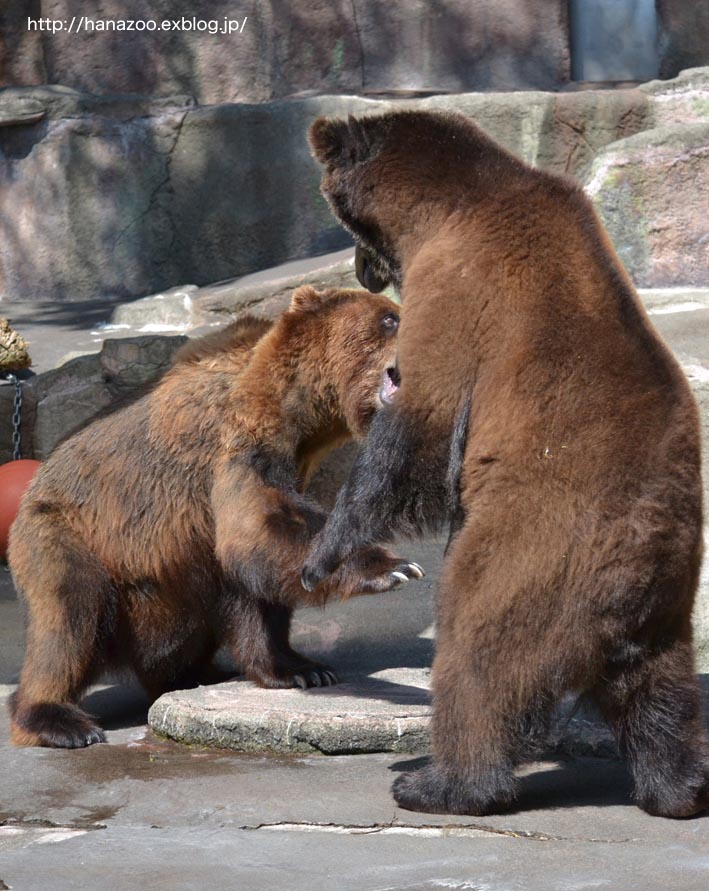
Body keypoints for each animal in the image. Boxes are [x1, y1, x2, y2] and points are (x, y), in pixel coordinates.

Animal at [9, 286, 420, 744]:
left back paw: (196, 672)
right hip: (69, 536)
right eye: (389, 318)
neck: (297, 407)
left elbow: (259, 576)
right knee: (67, 619)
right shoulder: (237, 439)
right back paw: (59, 720)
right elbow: (260, 526)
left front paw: (302, 668)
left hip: (168, 583)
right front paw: (393, 567)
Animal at [302, 108, 704, 820]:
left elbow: (416, 430)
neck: (444, 205)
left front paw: (322, 553)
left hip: (535, 547)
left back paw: (439, 783)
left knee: (480, 650)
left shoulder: (462, 292)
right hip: (663, 599)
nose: (361, 270)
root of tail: (640, 560)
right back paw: (676, 788)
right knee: (660, 693)